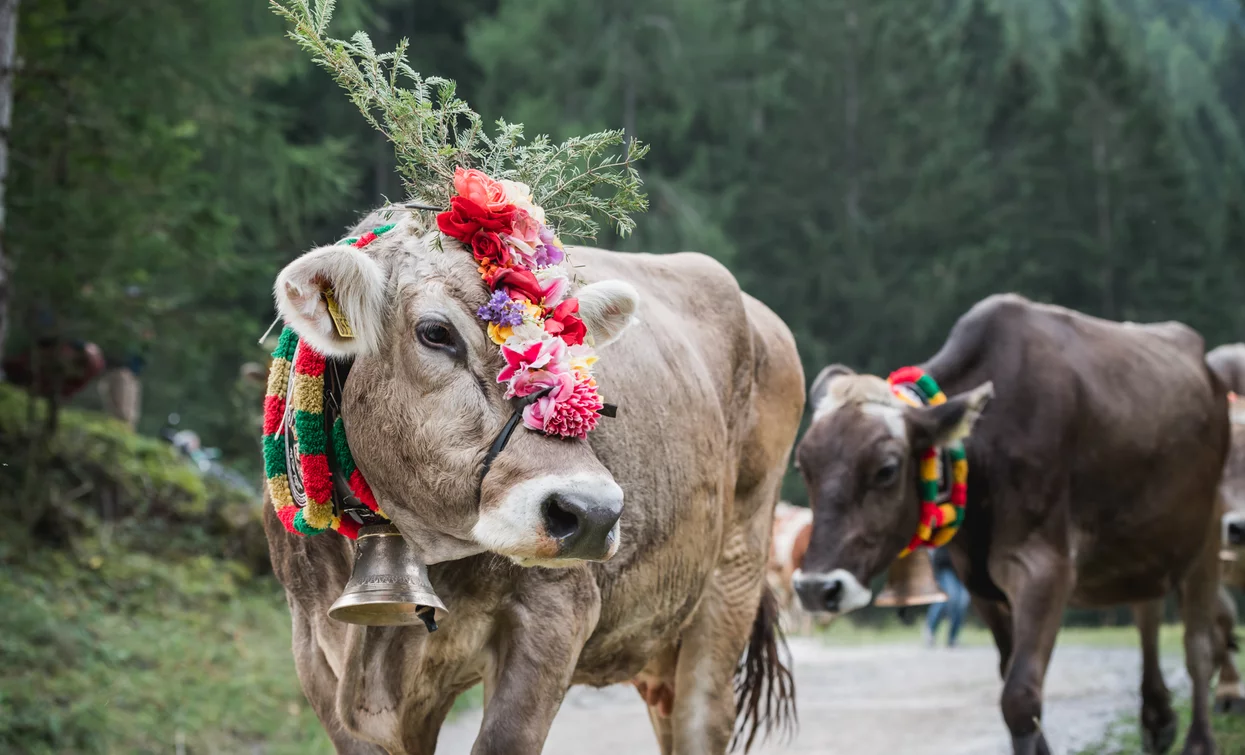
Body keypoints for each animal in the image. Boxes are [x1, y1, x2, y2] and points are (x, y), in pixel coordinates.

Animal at [791, 296, 1220, 755]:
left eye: (886, 470)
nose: (816, 588)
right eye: (804, 466)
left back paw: (1199, 739)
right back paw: (1158, 719)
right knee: (1147, 611)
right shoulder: (979, 583)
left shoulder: (1045, 568)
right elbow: (1011, 676)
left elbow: (1020, 695)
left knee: (1199, 645)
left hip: (1208, 533)